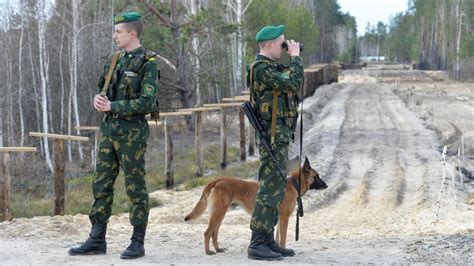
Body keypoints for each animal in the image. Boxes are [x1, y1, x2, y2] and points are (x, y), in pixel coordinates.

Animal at [184, 158, 326, 256]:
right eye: (316, 176)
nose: (327, 185)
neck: (294, 184)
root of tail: (217, 180)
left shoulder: (279, 218)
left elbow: (277, 237)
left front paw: (278, 249)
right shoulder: (284, 218)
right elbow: (283, 237)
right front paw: (284, 250)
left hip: (220, 215)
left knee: (214, 233)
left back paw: (218, 249)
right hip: (218, 214)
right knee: (207, 232)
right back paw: (208, 251)